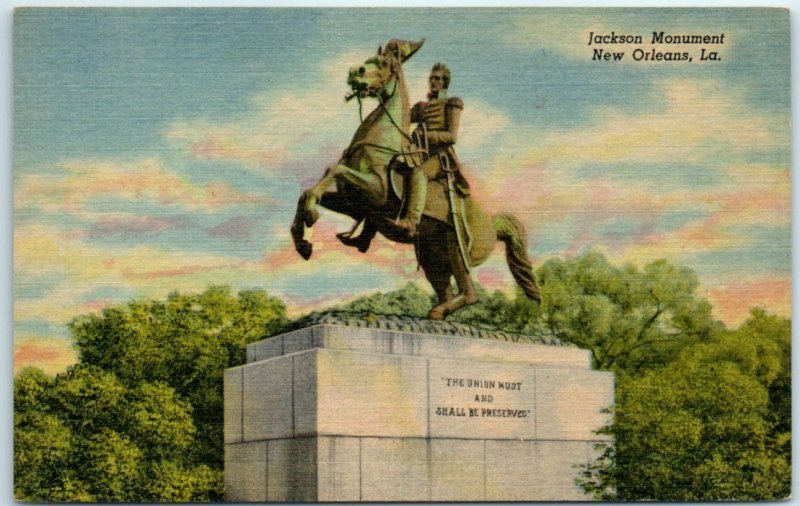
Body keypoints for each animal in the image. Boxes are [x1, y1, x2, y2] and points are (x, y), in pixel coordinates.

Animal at [290, 38, 540, 320]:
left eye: (384, 63)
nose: (355, 72)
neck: (380, 141)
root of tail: (492, 223)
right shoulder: (353, 203)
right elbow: (308, 192)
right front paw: (302, 243)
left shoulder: (375, 189)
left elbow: (334, 170)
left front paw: (311, 217)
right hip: (433, 258)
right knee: (447, 290)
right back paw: (437, 313)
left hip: (455, 247)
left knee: (469, 293)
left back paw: (436, 310)